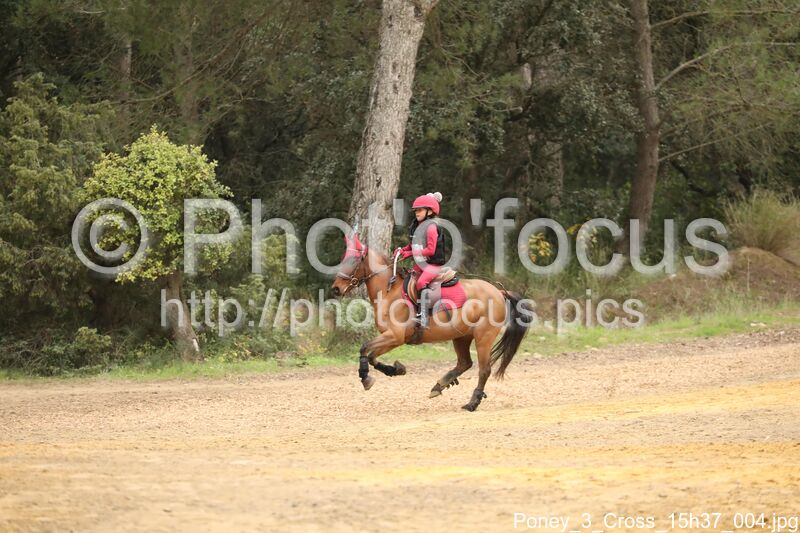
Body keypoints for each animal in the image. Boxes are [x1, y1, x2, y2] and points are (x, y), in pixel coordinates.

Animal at [329, 232, 533, 411]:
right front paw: (396, 370)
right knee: (465, 363)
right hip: (461, 336)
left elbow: (365, 349)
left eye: (353, 261)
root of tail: (499, 292)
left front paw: (366, 378)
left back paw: (472, 403)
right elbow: (371, 356)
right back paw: (440, 385)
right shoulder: (391, 338)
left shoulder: (395, 336)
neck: (389, 292)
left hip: (483, 337)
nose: (336, 289)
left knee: (484, 370)